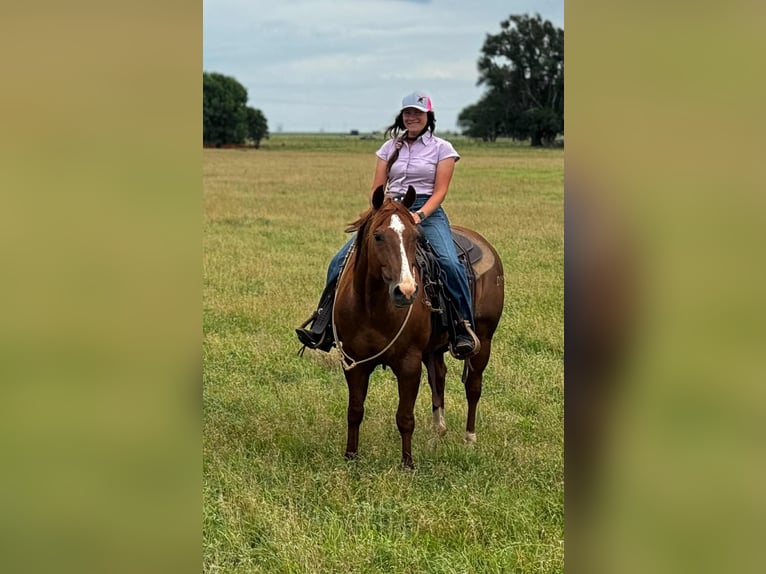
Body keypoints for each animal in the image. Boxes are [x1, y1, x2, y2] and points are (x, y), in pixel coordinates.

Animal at [332, 184, 505, 468]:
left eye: (416, 236)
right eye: (378, 236)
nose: (406, 291)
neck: (373, 307)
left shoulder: (409, 363)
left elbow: (405, 417)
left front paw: (407, 464)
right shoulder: (354, 361)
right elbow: (355, 410)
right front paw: (351, 457)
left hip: (483, 339)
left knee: (473, 386)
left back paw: (469, 439)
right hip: (433, 350)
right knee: (439, 378)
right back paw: (436, 436)